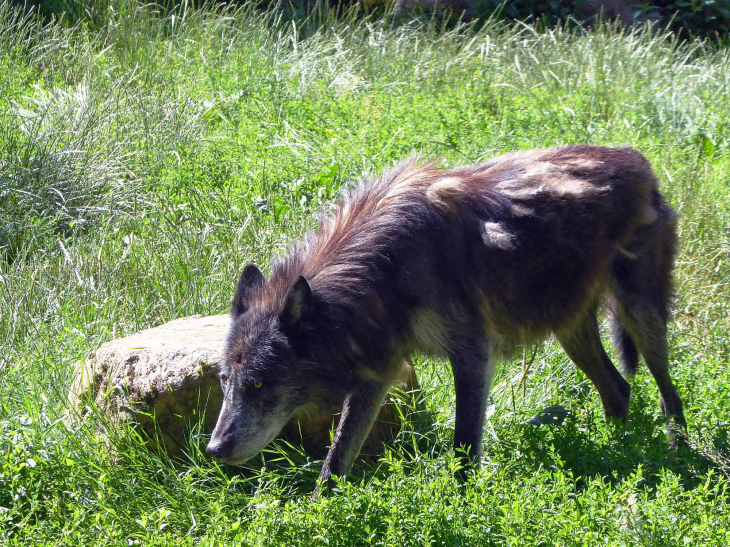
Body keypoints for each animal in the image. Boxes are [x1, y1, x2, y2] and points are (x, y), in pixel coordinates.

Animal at [208, 144, 684, 492]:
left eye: (258, 384)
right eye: (224, 382)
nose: (214, 449)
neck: (384, 267)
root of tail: (639, 161)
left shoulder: (473, 355)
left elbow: (462, 448)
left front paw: (460, 508)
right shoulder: (376, 375)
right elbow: (335, 461)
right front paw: (322, 515)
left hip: (641, 317)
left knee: (669, 393)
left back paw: (678, 454)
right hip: (570, 332)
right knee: (619, 389)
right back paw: (618, 451)